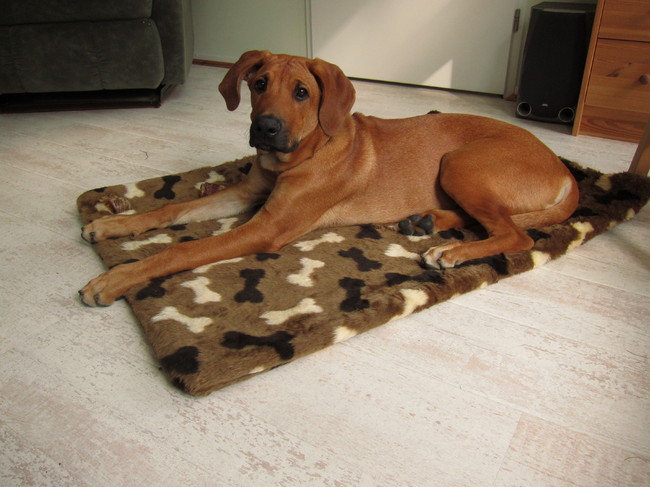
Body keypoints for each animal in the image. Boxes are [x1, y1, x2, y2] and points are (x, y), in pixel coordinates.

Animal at [79, 50, 579, 307]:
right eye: (258, 84)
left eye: (302, 92)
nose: (265, 129)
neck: (300, 155)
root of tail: (562, 168)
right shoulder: (246, 193)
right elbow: (173, 208)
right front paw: (113, 223)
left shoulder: (266, 227)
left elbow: (181, 250)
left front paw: (115, 278)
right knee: (490, 221)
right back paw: (427, 221)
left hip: (460, 161)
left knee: (516, 234)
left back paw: (451, 251)